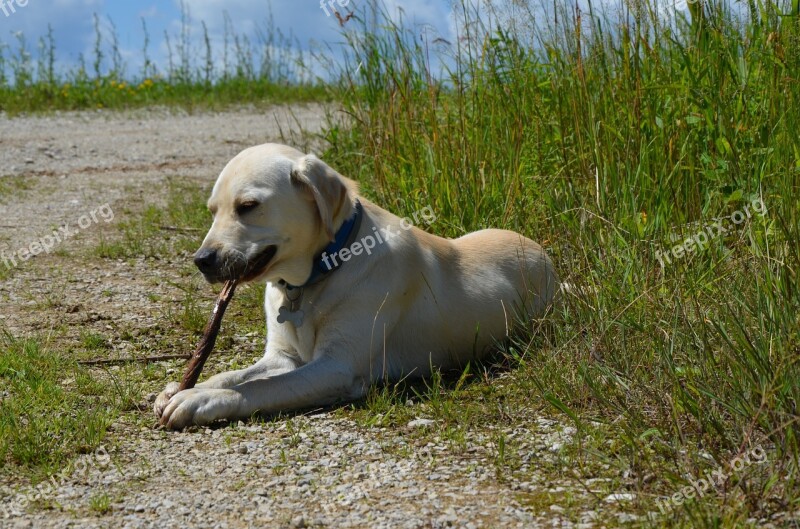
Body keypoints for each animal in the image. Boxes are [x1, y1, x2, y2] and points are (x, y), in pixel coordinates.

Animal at [153, 142, 560, 426]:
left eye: (248, 206)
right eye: (212, 211)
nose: (201, 260)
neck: (311, 280)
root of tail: (546, 255)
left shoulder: (336, 366)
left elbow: (259, 387)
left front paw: (198, 400)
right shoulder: (282, 357)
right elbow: (232, 375)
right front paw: (182, 388)